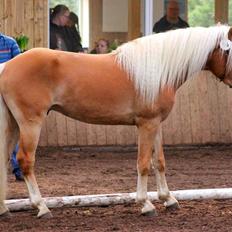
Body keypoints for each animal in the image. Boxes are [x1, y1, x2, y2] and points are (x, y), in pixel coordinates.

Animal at [0, 25, 232, 219]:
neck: (157, 69)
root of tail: (7, 66)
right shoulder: (146, 124)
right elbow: (143, 163)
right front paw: (146, 204)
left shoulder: (156, 124)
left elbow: (159, 162)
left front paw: (169, 199)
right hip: (30, 124)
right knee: (25, 160)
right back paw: (41, 207)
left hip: (13, 125)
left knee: (4, 160)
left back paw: (4, 210)